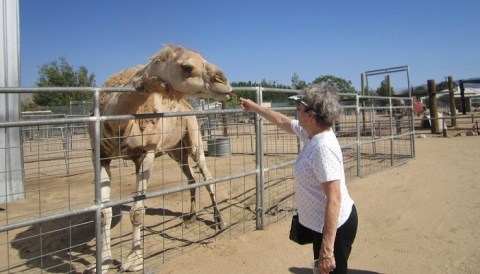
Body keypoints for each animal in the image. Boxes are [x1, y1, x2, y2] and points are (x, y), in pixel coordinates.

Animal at [89, 45, 232, 272]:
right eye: (186, 67)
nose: (223, 81)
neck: (116, 120)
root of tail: (189, 108)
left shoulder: (145, 154)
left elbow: (137, 211)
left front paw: (133, 260)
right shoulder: (100, 155)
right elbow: (104, 213)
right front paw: (103, 262)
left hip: (194, 139)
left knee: (208, 177)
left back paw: (219, 221)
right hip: (176, 151)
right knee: (191, 179)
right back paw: (191, 218)